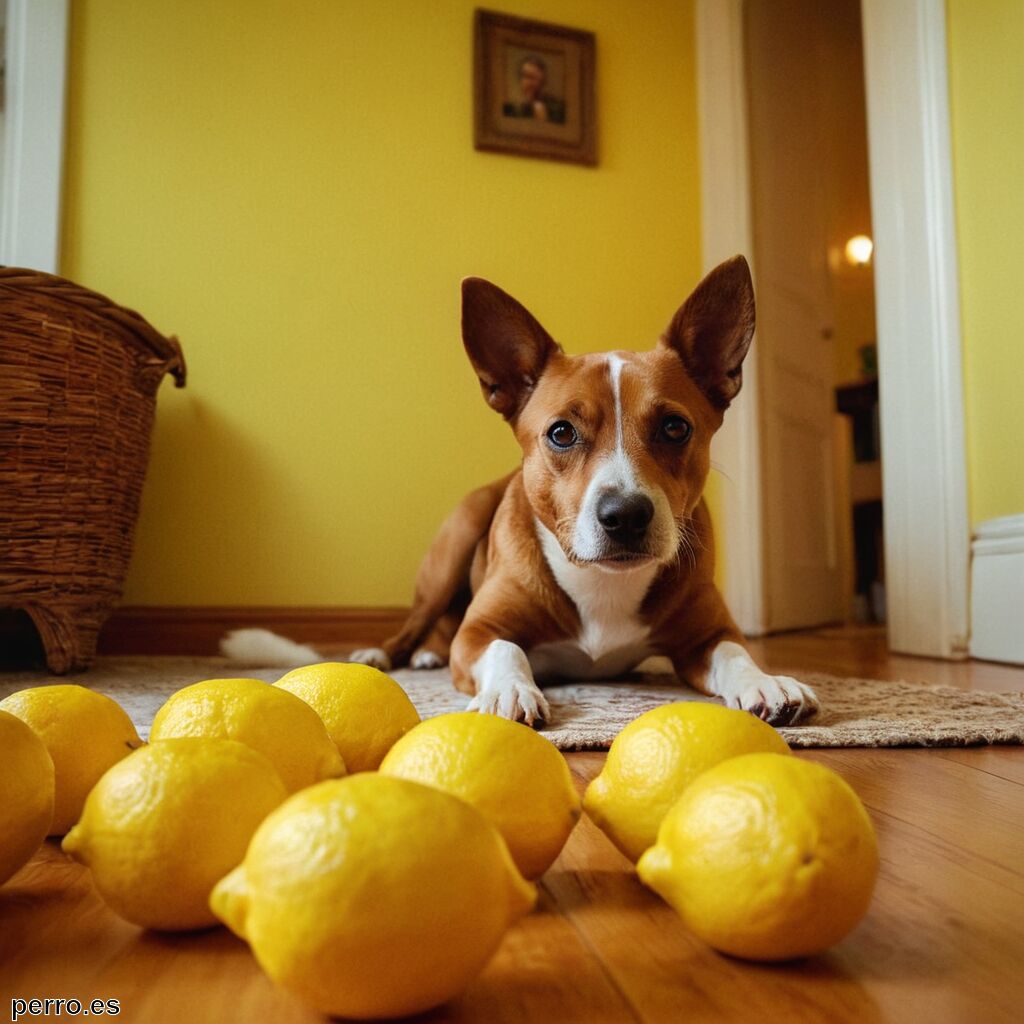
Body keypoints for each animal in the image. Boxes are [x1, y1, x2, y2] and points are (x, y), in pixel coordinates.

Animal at [331, 258, 819, 729]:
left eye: (675, 427)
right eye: (562, 433)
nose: (626, 514)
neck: (603, 580)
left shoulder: (707, 635)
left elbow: (736, 653)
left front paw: (767, 681)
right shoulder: (478, 633)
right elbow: (506, 648)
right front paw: (511, 689)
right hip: (454, 544)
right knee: (416, 622)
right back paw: (391, 654)